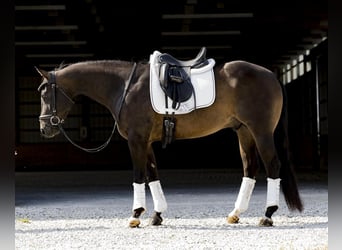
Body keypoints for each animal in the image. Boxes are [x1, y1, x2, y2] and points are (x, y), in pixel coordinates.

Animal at [36, 50, 304, 227]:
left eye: (45, 94)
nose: (44, 128)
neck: (124, 87)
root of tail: (271, 75)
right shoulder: (146, 142)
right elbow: (153, 175)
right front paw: (157, 215)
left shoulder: (136, 140)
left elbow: (139, 176)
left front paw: (135, 215)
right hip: (244, 131)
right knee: (250, 168)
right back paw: (235, 213)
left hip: (261, 132)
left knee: (273, 166)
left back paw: (267, 214)